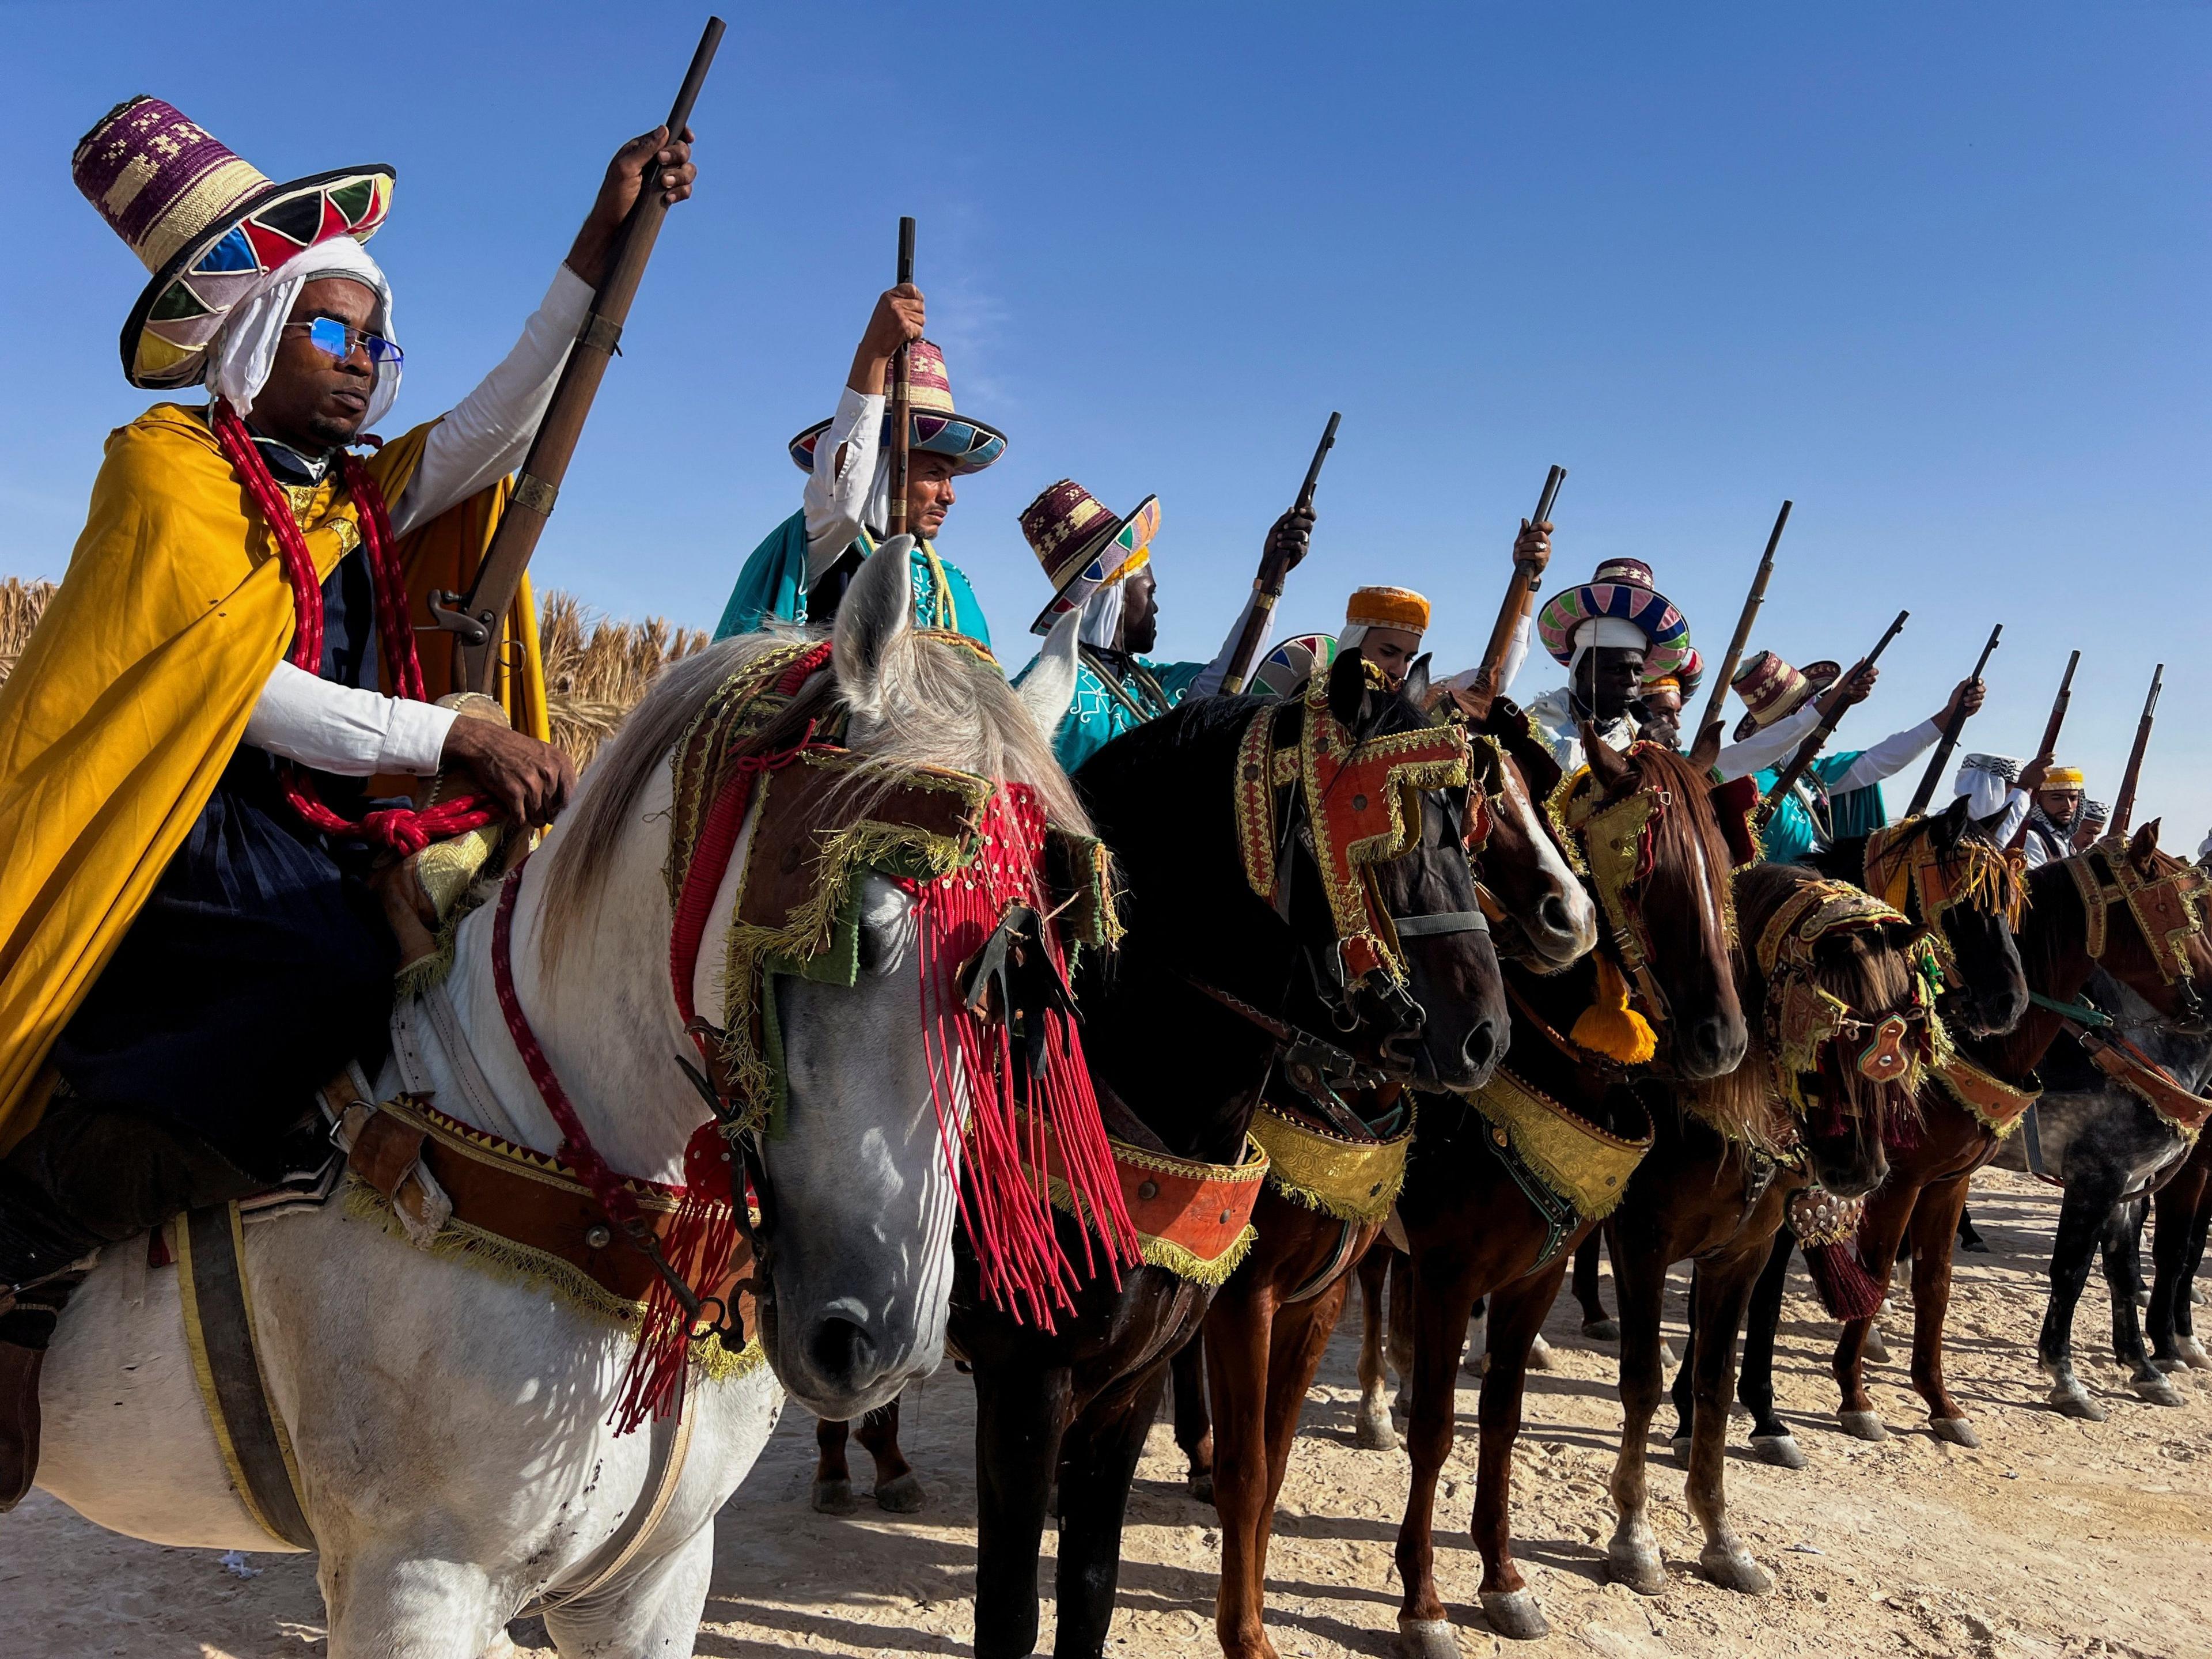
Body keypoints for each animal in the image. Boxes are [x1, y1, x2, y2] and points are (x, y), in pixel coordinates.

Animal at [1389, 747, 1752, 1654]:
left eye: (1725, 866)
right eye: (1645, 868)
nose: (1725, 1040)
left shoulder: (1535, 1277)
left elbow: (1503, 1417)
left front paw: (1503, 1581)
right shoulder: (1449, 1274)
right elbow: (1439, 1429)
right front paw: (1424, 1605)